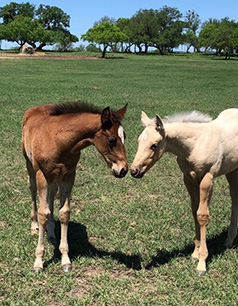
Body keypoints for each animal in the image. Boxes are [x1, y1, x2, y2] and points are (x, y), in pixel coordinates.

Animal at [21, 101, 127, 272]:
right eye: (111, 140)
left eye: (125, 137)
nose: (123, 170)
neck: (59, 141)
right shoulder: (42, 174)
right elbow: (43, 213)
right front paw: (38, 262)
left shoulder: (69, 175)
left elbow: (64, 213)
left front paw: (65, 260)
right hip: (30, 166)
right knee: (33, 190)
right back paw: (34, 226)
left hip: (55, 178)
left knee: (52, 194)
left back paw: (51, 233)